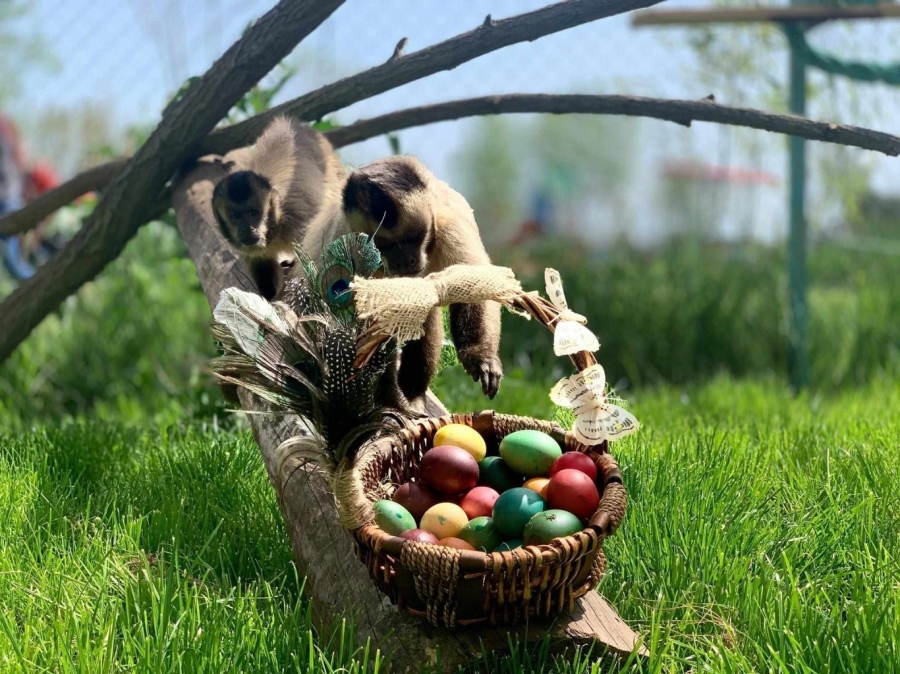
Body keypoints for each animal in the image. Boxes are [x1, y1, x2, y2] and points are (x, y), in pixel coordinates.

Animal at [213, 116, 346, 300]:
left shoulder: (298, 219)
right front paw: (267, 298)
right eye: (236, 216)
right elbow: (261, 263)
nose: (248, 228)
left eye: (254, 213)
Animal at [298, 156, 502, 410]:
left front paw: (480, 356)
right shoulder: (344, 241)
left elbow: (472, 283)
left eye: (413, 238)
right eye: (384, 246)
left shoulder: (450, 222)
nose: (404, 261)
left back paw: (412, 392)